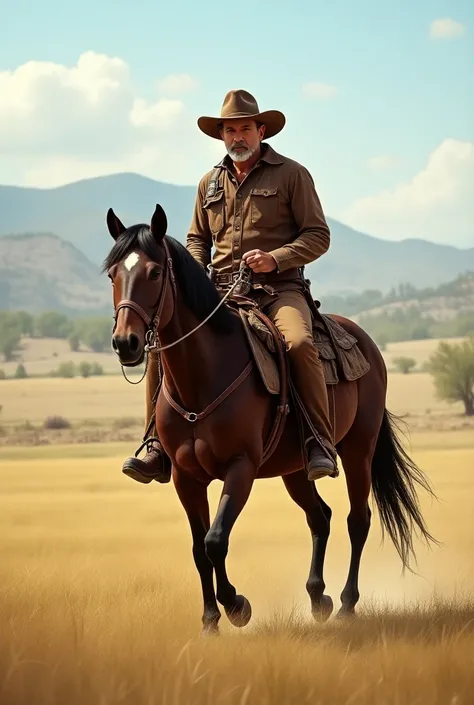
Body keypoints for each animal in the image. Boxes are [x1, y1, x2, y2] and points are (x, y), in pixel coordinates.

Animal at [103, 202, 436, 632]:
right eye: (113, 274)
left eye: (155, 272)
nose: (125, 343)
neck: (205, 376)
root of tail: (365, 342)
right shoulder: (185, 477)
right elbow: (198, 548)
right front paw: (210, 620)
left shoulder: (240, 468)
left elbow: (215, 540)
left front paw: (236, 606)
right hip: (296, 468)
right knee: (320, 517)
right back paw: (318, 597)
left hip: (358, 451)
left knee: (357, 520)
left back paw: (346, 604)